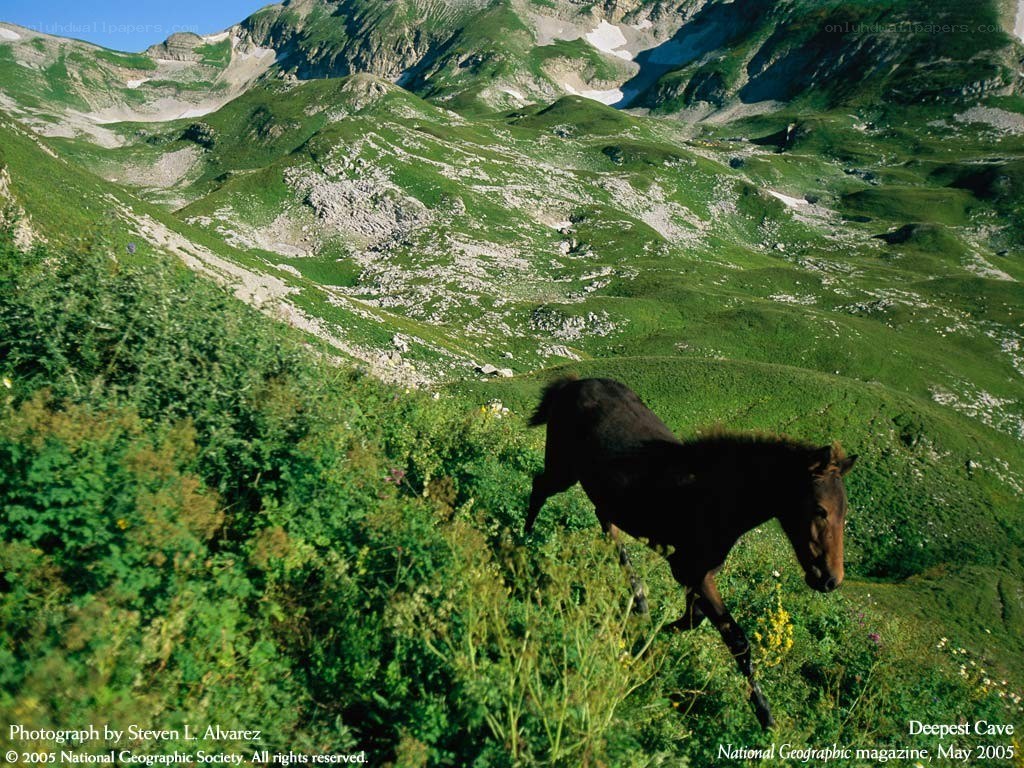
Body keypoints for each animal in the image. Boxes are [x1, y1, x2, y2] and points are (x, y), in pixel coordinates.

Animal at [523, 377, 856, 729]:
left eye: (845, 512)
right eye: (820, 510)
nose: (830, 579)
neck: (719, 496)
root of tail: (573, 382)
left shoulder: (697, 574)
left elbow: (694, 619)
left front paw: (651, 633)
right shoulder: (691, 571)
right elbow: (736, 639)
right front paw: (765, 714)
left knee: (606, 523)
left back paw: (638, 598)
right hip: (563, 469)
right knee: (540, 488)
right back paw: (523, 541)